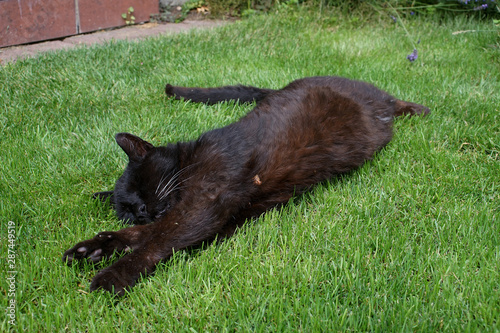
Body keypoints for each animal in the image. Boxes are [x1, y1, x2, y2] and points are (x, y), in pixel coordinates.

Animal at [62, 76, 430, 294]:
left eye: (141, 186)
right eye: (127, 210)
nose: (141, 211)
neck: (190, 160)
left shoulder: (206, 201)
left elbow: (158, 239)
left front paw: (113, 275)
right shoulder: (224, 216)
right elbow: (150, 234)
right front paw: (95, 247)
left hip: (373, 96)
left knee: (392, 98)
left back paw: (417, 108)